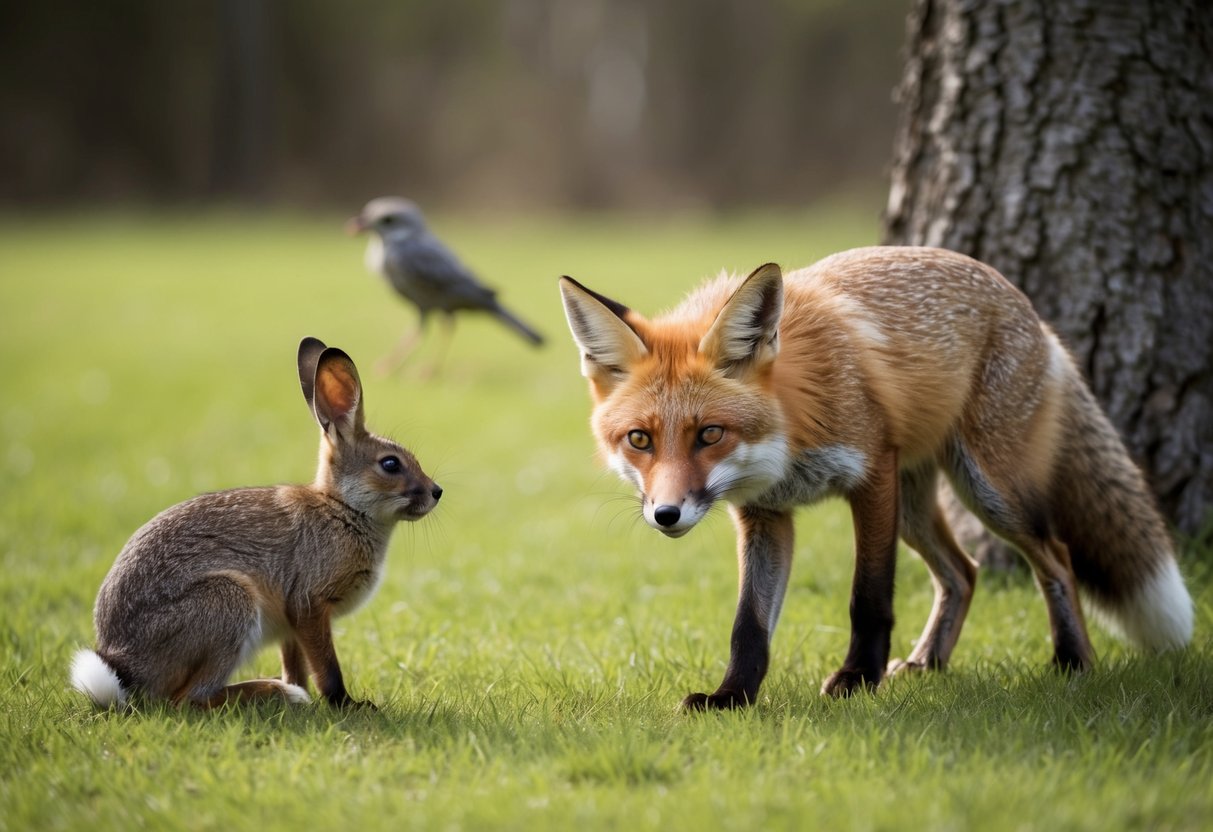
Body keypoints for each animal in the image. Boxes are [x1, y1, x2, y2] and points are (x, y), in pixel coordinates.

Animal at [70, 337, 442, 709]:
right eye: (390, 464)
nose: (436, 492)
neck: (343, 507)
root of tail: (125, 666)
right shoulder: (308, 604)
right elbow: (326, 666)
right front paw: (346, 703)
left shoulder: (292, 626)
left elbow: (297, 662)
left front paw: (304, 690)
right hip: (229, 603)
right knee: (190, 699)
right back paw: (274, 692)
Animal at [558, 246, 1193, 710]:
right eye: (640, 440)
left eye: (710, 434)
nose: (666, 514)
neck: (791, 433)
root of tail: (1028, 309)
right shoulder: (766, 513)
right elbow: (749, 624)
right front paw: (732, 697)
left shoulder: (872, 475)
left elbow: (868, 597)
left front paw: (857, 680)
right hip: (918, 510)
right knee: (964, 572)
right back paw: (928, 662)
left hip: (990, 490)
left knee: (1055, 555)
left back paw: (1072, 661)